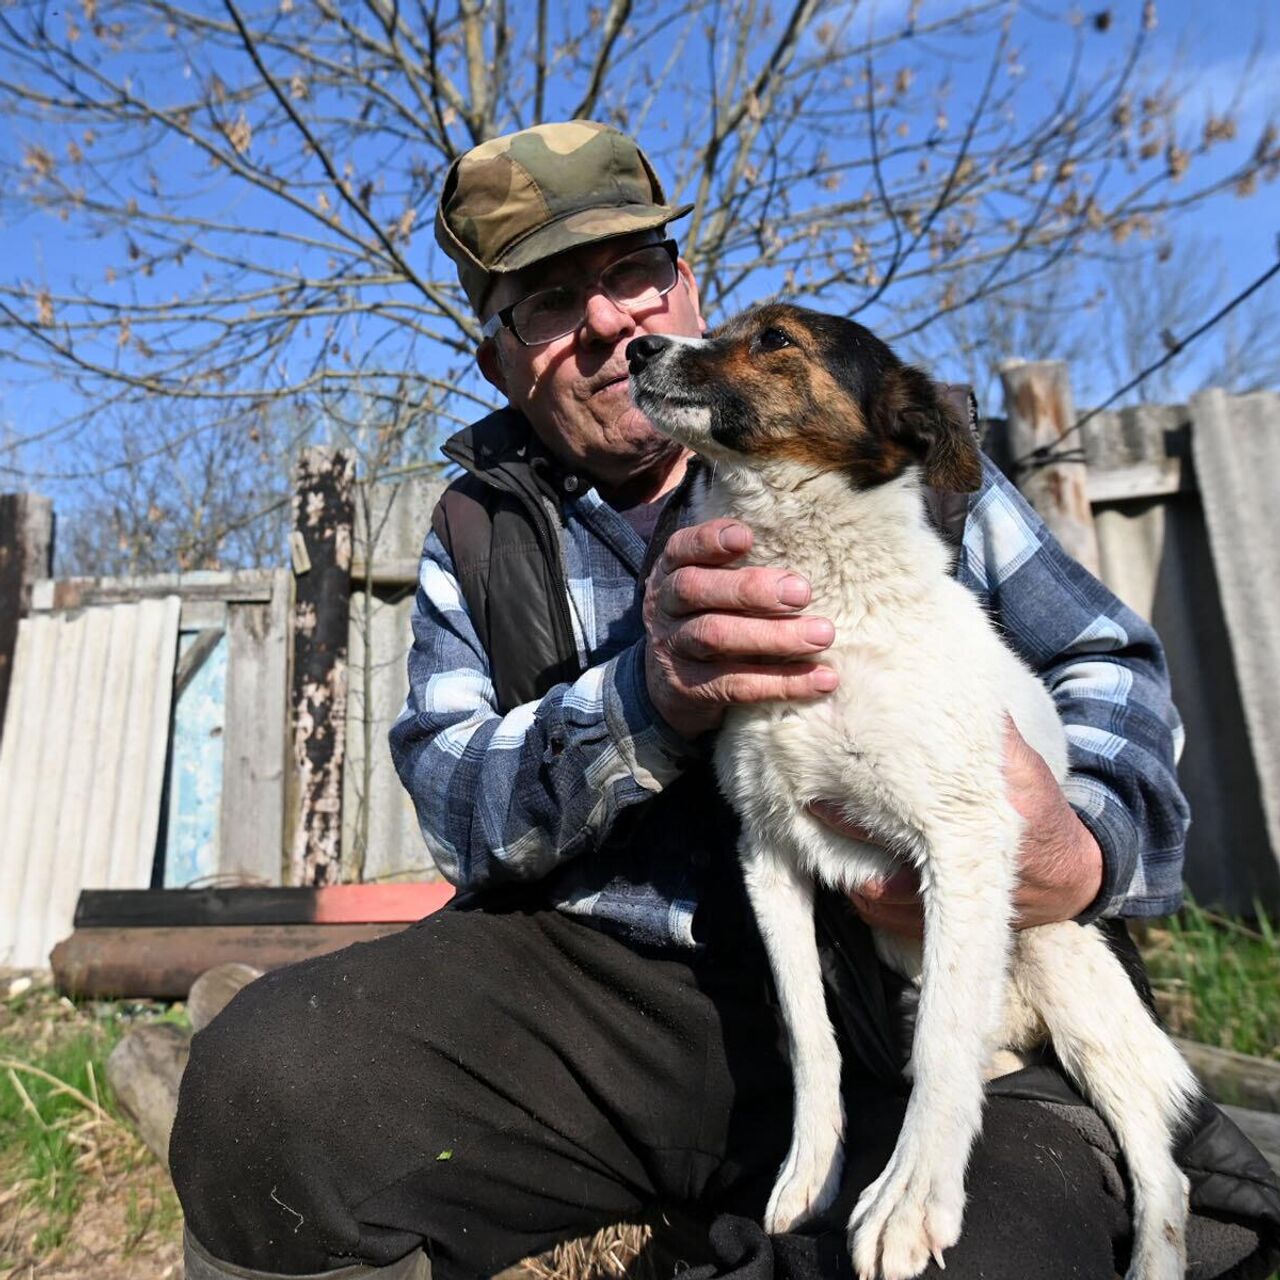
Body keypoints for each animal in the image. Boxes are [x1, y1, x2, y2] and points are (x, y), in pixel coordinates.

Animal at [629, 307, 1198, 1280]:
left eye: (774, 339)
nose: (637, 348)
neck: (830, 604)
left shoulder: (962, 844)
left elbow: (938, 1045)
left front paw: (910, 1197)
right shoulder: (769, 852)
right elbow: (810, 1036)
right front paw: (810, 1173)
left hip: (1065, 961)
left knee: (1161, 1171)